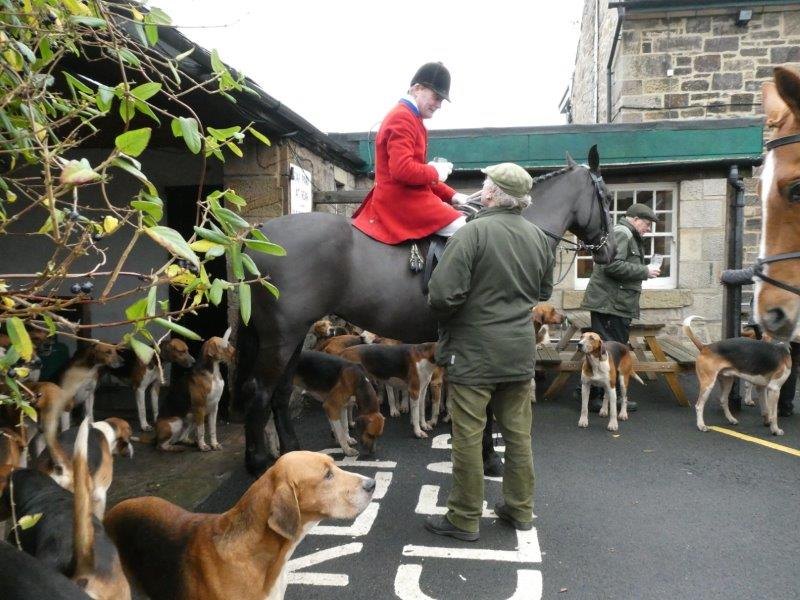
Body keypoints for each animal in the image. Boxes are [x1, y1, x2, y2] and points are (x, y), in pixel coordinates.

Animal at [237, 146, 616, 474]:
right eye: (605, 197)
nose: (609, 251)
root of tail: (256, 233)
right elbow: (485, 406)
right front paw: (489, 458)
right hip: (281, 339)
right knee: (258, 394)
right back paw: (258, 463)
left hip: (292, 336)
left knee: (279, 394)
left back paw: (290, 451)